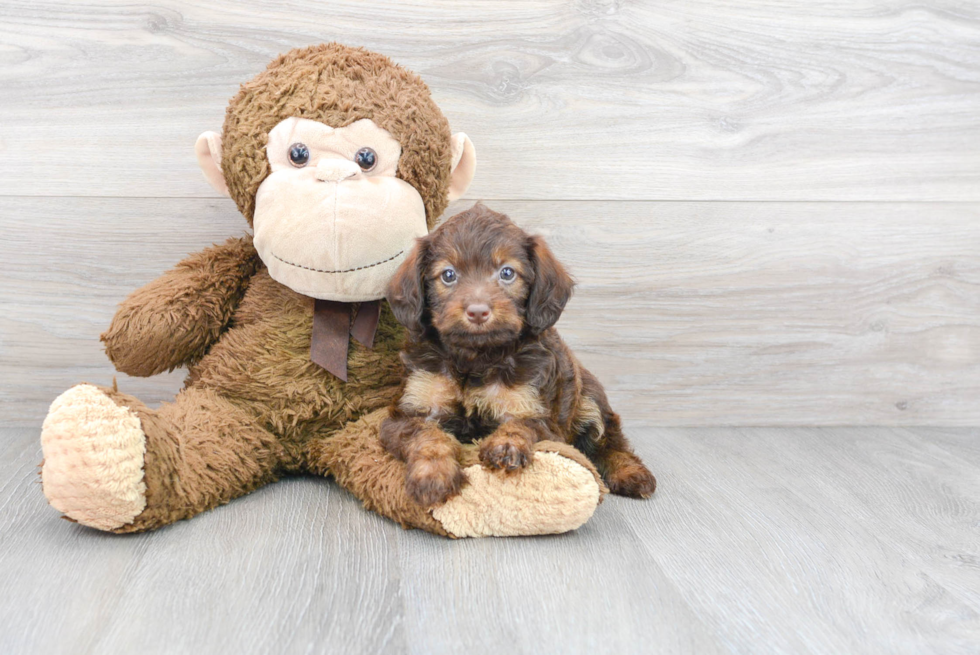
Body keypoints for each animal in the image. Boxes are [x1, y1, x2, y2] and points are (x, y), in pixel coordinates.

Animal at [382, 205, 660, 508]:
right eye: (448, 275)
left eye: (507, 273)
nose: (477, 311)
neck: (475, 357)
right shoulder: (409, 412)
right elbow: (427, 435)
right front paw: (433, 474)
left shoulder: (537, 415)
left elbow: (520, 425)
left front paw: (507, 445)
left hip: (590, 398)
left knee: (610, 443)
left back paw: (631, 473)